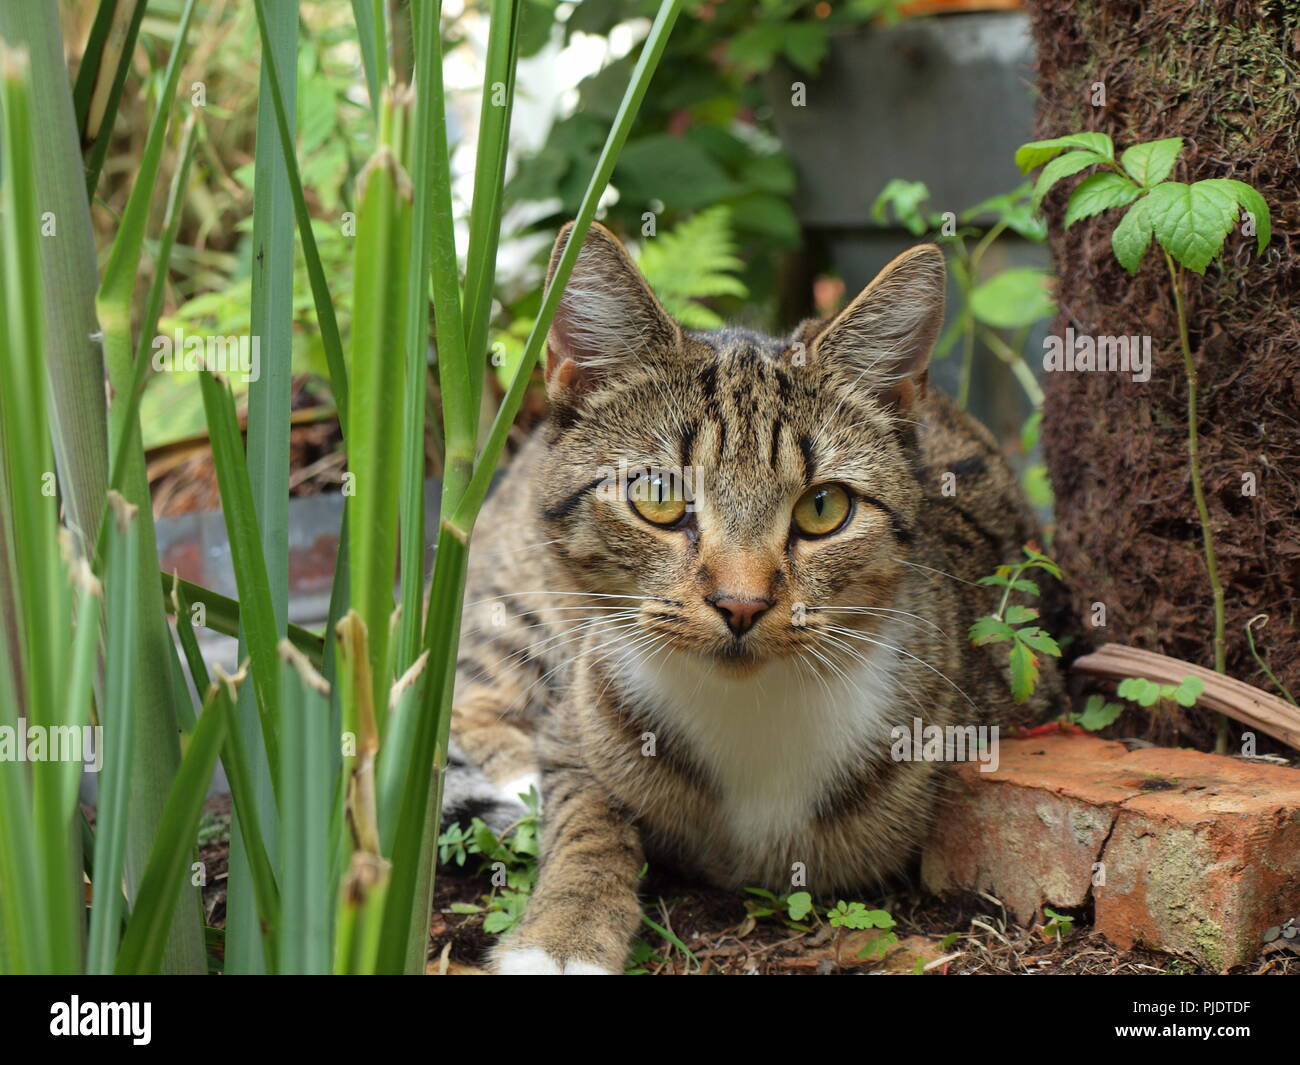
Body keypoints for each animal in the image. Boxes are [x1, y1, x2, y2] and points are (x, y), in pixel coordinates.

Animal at [452, 224, 1060, 972]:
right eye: (660, 495)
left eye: (824, 507)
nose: (740, 604)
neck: (750, 708)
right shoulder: (576, 719)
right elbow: (587, 813)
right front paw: (564, 932)